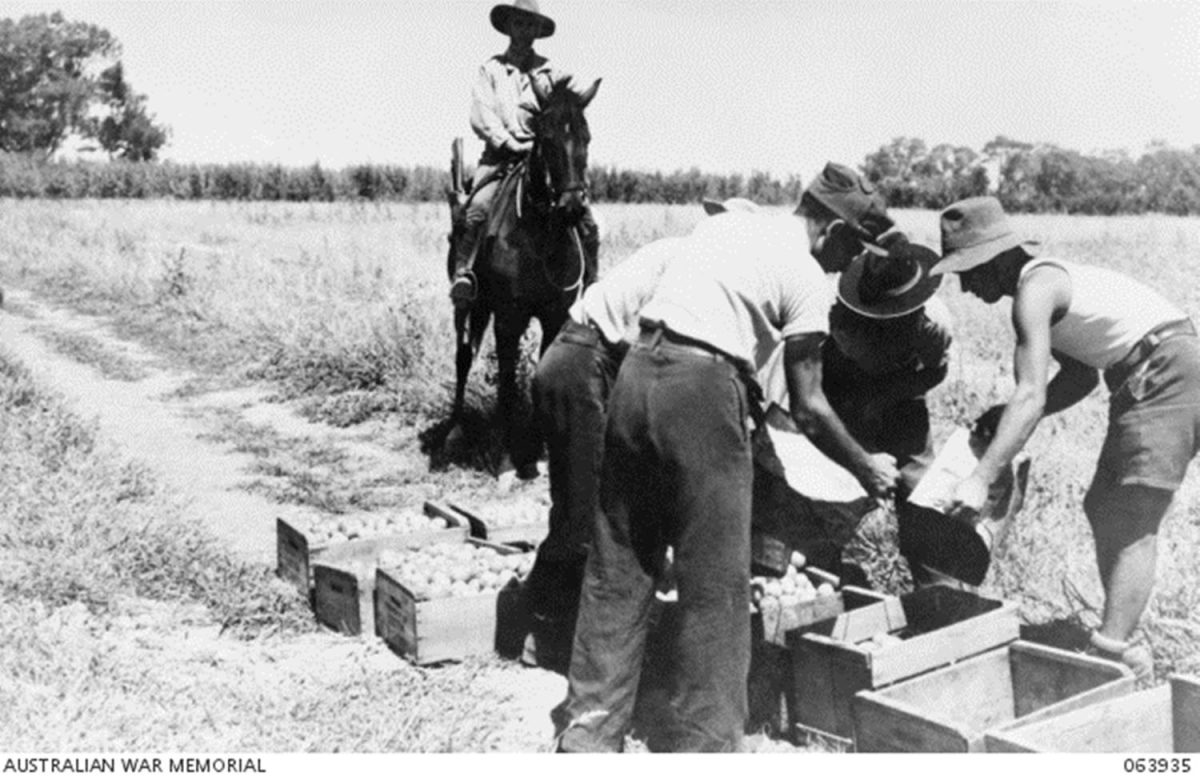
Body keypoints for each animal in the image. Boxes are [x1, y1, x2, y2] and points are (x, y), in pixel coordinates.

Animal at [446, 75, 600, 477]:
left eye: (587, 136)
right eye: (545, 136)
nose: (572, 207)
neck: (539, 236)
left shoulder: (554, 315)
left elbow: (539, 375)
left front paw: (542, 453)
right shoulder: (509, 317)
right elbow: (506, 382)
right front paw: (506, 458)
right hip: (466, 305)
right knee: (463, 356)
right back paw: (454, 430)